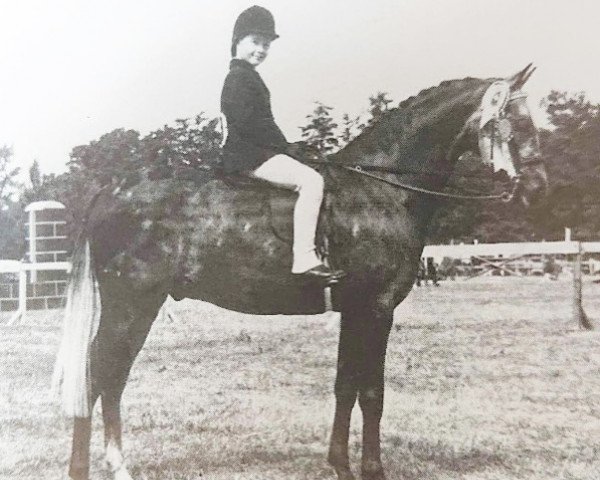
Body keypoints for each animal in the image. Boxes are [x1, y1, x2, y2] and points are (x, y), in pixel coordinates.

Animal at [55, 64, 548, 480]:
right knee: (100, 375)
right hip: (131, 305)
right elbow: (372, 392)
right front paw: (373, 469)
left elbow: (346, 386)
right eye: (518, 122)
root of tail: (113, 188)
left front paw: (341, 465)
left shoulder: (354, 311)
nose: (538, 187)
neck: (381, 189)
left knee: (110, 378)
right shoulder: (377, 308)